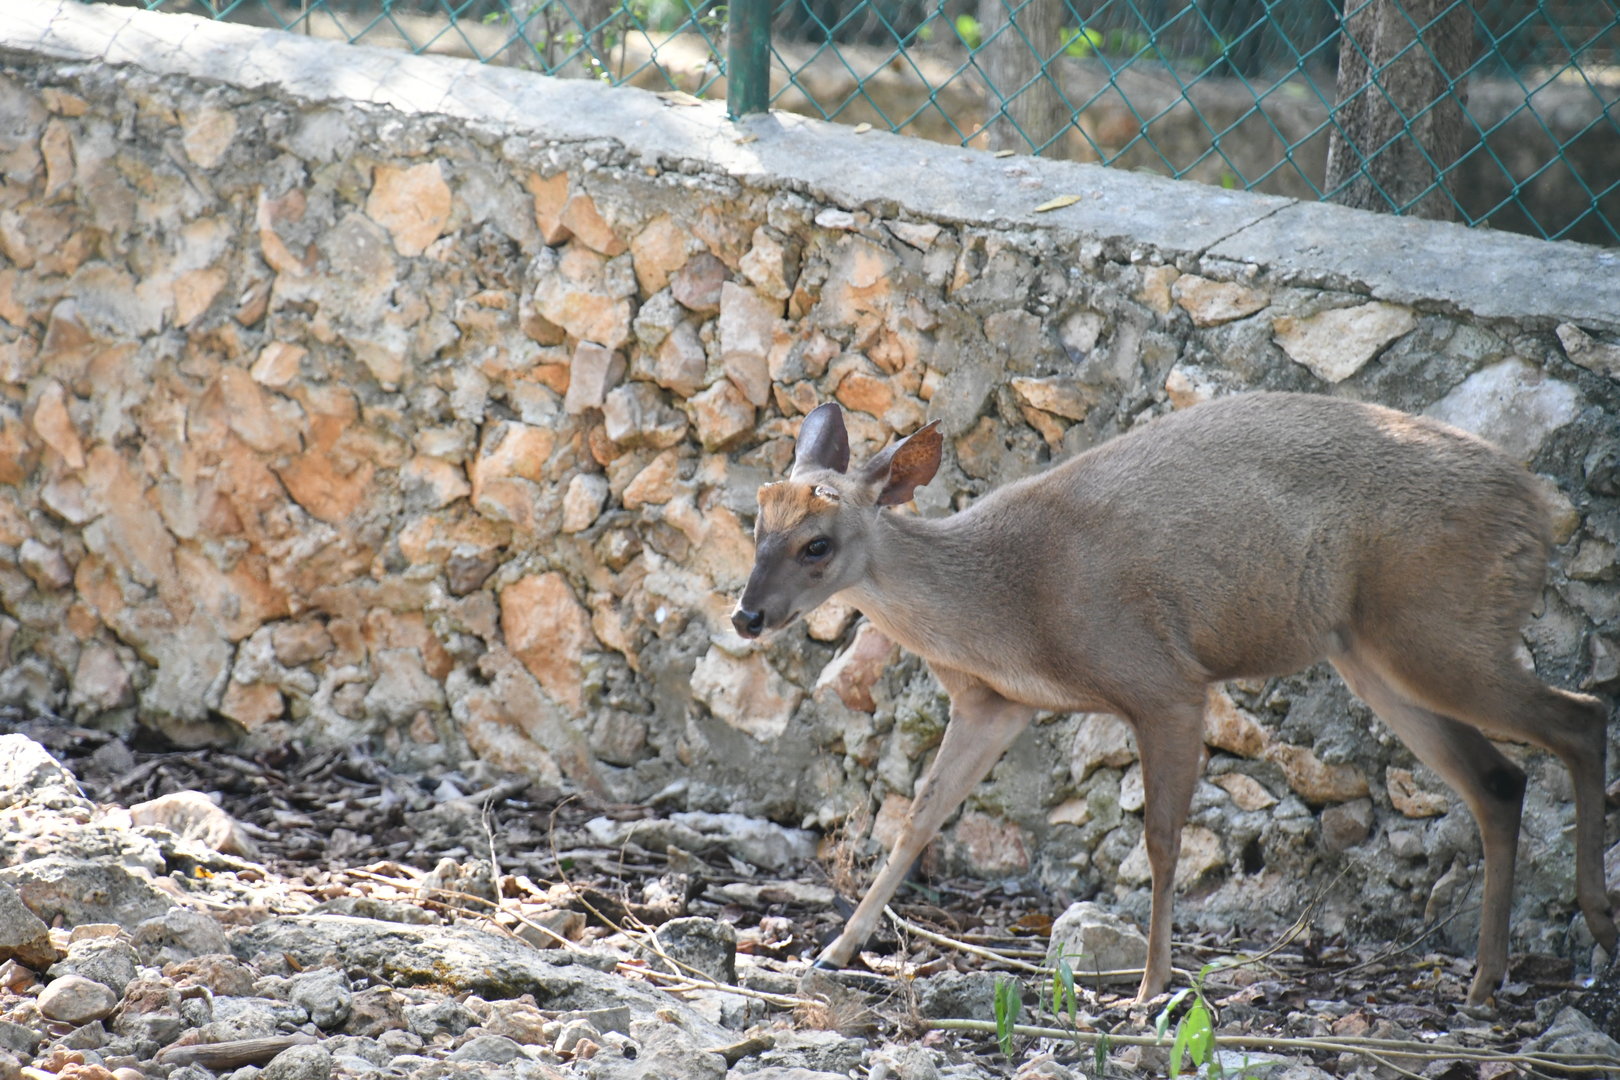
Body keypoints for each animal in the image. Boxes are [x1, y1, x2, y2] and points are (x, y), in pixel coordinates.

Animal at [730, 391, 1615, 1007]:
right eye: (754, 525)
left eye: (818, 545)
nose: (745, 615)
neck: (1010, 607)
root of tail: (1537, 507)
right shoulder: (995, 703)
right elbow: (919, 817)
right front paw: (833, 951)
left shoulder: (1164, 682)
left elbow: (1161, 842)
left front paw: (1153, 989)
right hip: (1371, 652)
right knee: (1501, 779)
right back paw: (1486, 981)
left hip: (1438, 626)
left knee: (1580, 716)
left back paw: (1594, 928)